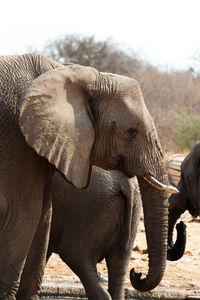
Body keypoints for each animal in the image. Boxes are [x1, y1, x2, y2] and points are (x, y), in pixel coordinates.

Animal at [46, 168, 141, 298]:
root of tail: (126, 183)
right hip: (132, 208)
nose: (138, 274)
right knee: (119, 263)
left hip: (89, 209)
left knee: (74, 256)